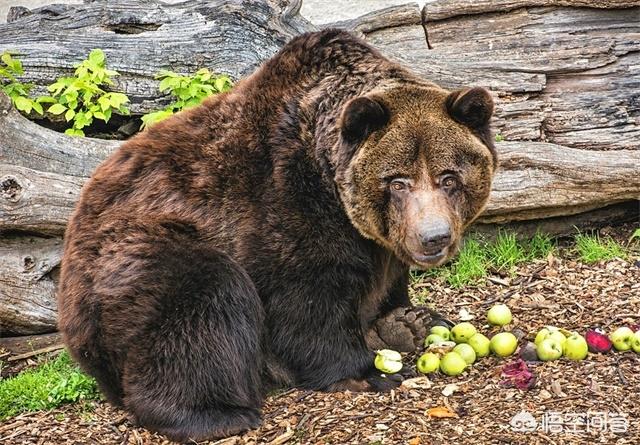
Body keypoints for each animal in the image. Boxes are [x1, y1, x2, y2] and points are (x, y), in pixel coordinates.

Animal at [57, 28, 498, 440]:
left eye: (448, 177)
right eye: (398, 182)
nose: (434, 237)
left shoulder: (377, 243)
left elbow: (386, 281)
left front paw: (410, 318)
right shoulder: (284, 201)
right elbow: (307, 299)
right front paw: (368, 371)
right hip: (133, 252)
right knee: (203, 297)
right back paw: (214, 415)